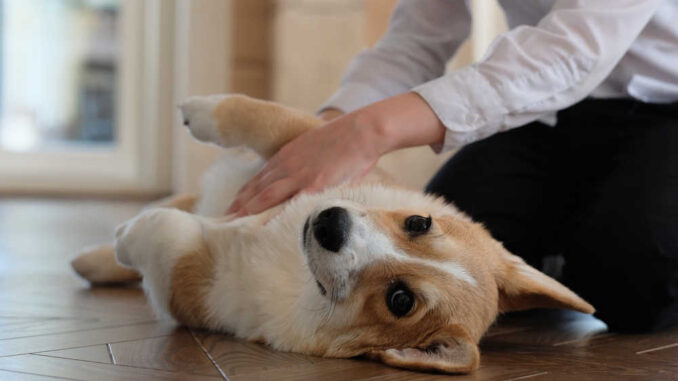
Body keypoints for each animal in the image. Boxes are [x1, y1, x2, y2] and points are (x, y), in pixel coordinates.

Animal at [73, 93, 596, 372]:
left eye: (400, 300)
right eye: (418, 223)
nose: (330, 223)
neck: (297, 265)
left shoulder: (196, 291)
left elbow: (165, 233)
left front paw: (130, 233)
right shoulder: (311, 151)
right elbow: (261, 117)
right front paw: (197, 110)